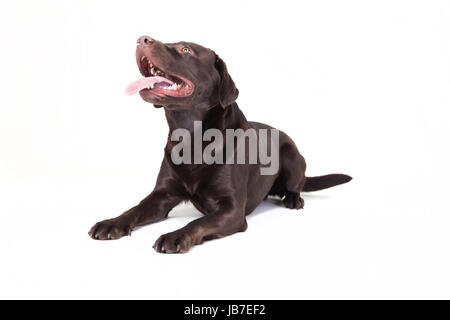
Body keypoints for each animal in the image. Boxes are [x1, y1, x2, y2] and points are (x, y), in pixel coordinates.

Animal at [88, 35, 352, 252]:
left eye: (185, 49)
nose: (142, 39)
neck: (190, 139)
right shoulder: (161, 195)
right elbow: (134, 209)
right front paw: (111, 223)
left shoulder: (232, 210)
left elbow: (198, 221)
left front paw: (174, 236)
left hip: (292, 155)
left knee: (297, 183)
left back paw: (293, 198)